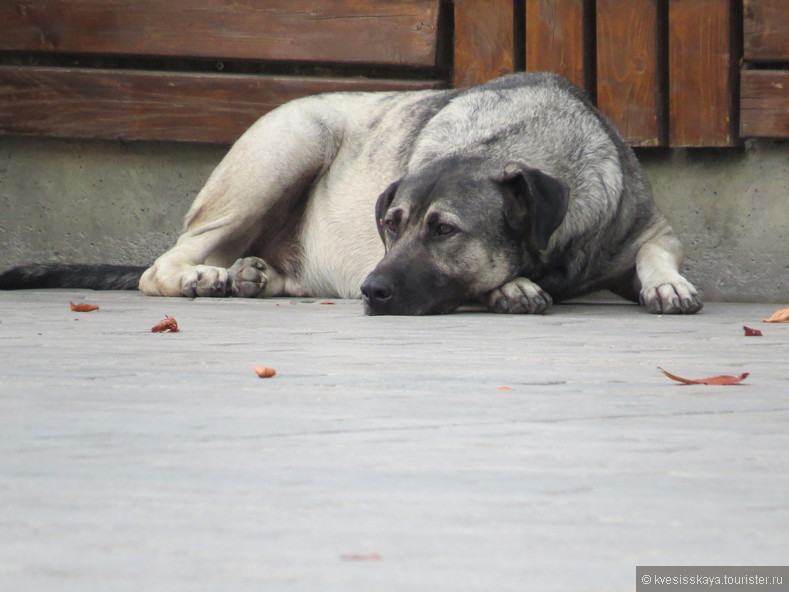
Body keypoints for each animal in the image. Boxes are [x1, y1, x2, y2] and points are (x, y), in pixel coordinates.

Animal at [0, 72, 700, 316]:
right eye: (389, 224)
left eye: (445, 230)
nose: (373, 289)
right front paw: (514, 287)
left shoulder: (645, 228)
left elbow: (656, 251)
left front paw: (667, 284)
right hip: (290, 142)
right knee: (162, 264)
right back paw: (204, 277)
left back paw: (255, 276)